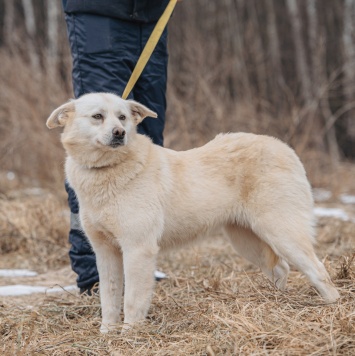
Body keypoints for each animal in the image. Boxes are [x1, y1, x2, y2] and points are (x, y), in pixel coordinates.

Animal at [46, 93, 340, 332]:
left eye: (122, 117)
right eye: (97, 116)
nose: (120, 133)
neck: (108, 170)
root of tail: (284, 147)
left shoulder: (138, 249)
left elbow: (132, 300)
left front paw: (130, 334)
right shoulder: (105, 251)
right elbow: (109, 298)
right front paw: (107, 334)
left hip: (282, 232)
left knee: (318, 270)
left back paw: (334, 308)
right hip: (247, 240)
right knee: (280, 267)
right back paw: (276, 301)